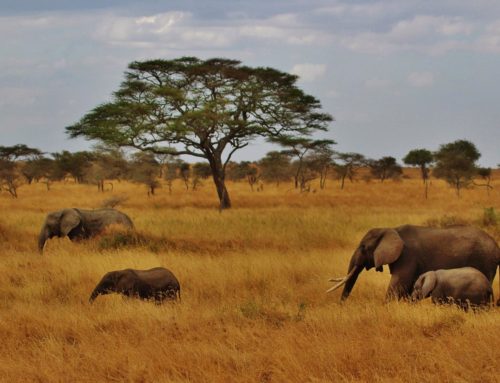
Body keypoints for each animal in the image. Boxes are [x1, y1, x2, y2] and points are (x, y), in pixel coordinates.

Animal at [328, 225, 500, 304]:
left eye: (364, 247)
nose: (341, 305)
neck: (391, 230)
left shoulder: (407, 256)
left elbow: (397, 286)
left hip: (485, 260)